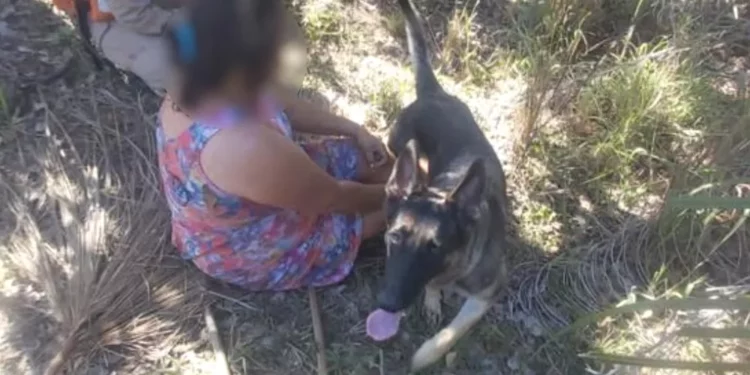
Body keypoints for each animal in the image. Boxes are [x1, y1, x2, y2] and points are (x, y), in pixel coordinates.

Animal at [378, 0, 516, 372]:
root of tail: (434, 93)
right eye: (395, 237)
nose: (389, 303)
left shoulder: (488, 294)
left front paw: (425, 354)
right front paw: (432, 298)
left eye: (434, 248)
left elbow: (452, 334)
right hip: (396, 143)